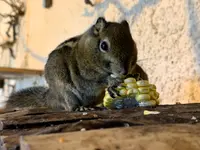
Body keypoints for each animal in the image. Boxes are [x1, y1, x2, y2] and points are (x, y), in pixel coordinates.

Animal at [5, 17, 148, 111]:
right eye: (103, 45)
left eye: (133, 43)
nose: (124, 71)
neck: (86, 51)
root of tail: (52, 97)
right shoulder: (84, 75)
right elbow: (96, 81)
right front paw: (112, 82)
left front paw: (135, 76)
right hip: (64, 90)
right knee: (70, 106)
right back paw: (80, 108)